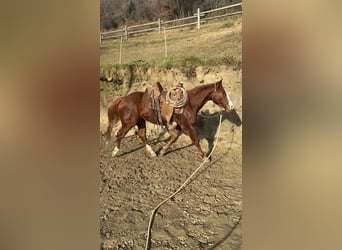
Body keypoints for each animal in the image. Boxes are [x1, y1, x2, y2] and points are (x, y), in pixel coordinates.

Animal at [104, 79, 235, 158]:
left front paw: (163, 151)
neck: (189, 103)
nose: (231, 106)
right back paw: (115, 152)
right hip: (128, 123)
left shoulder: (179, 125)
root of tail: (123, 98)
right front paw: (204, 157)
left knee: (142, 135)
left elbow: (174, 138)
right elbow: (195, 140)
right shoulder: (186, 125)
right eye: (223, 93)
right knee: (119, 134)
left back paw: (152, 152)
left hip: (140, 121)